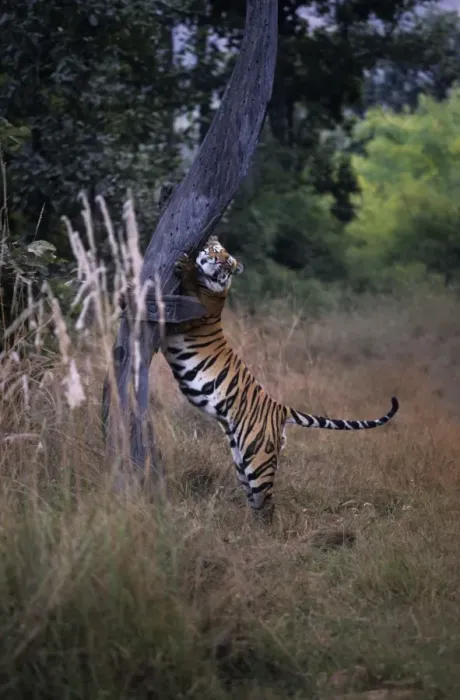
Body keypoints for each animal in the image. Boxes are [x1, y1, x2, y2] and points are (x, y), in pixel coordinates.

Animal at [164, 236, 399, 520]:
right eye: (216, 251)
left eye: (227, 262)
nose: (217, 261)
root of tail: (280, 408)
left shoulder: (191, 313)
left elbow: (187, 290)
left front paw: (185, 267)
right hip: (241, 460)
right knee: (255, 499)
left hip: (258, 458)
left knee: (267, 502)